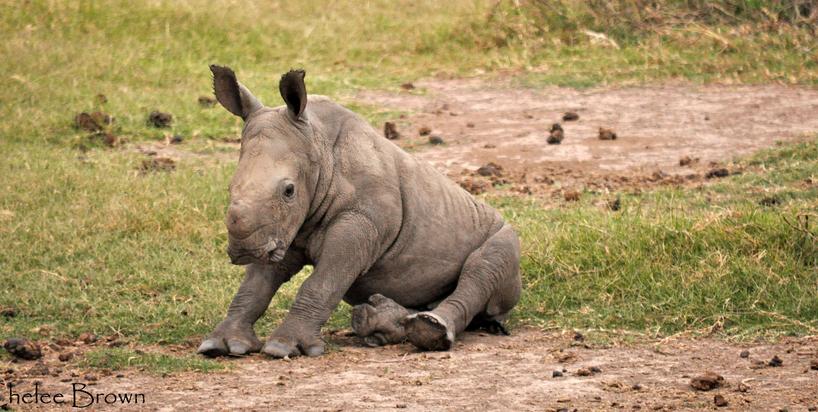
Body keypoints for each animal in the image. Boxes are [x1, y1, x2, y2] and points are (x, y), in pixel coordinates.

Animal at [197, 65, 522, 358]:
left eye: (289, 190)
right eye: (230, 188)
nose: (244, 250)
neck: (318, 147)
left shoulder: (360, 223)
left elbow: (322, 283)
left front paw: (283, 348)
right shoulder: (280, 229)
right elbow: (255, 286)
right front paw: (222, 345)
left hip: (501, 233)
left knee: (486, 264)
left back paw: (429, 329)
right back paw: (378, 323)